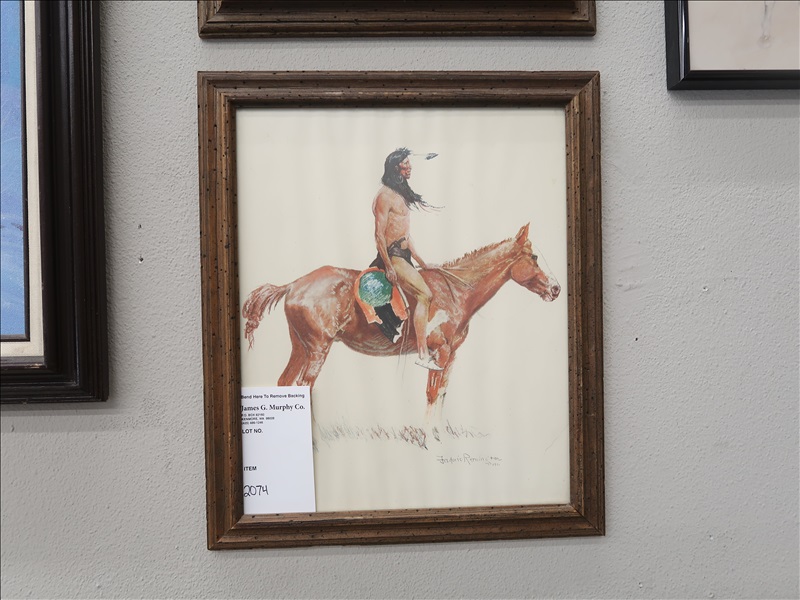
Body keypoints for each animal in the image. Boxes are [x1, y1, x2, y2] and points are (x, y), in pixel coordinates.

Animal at [242, 224, 560, 413]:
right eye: (533, 258)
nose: (556, 288)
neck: (455, 292)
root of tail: (293, 285)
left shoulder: (451, 357)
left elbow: (440, 399)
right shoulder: (439, 354)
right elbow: (431, 397)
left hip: (300, 346)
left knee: (285, 383)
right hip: (318, 349)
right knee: (304, 387)